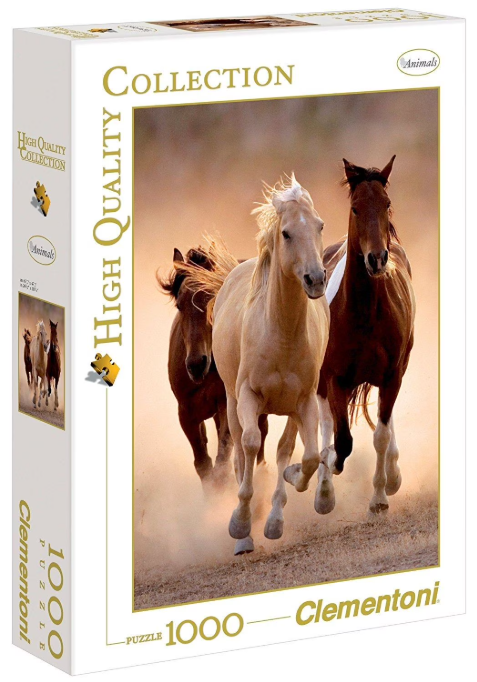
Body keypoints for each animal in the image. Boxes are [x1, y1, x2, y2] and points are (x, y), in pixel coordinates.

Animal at [158, 246, 269, 494]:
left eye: (213, 299)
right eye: (179, 305)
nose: (196, 364)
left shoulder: (226, 405)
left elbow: (222, 462)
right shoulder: (186, 413)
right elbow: (203, 464)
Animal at [183, 176, 329, 554]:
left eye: (320, 226)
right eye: (287, 233)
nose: (316, 279)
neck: (281, 333)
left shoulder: (304, 401)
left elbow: (305, 456)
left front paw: (283, 504)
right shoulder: (247, 397)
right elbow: (249, 446)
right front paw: (240, 524)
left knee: (284, 450)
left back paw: (274, 517)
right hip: (232, 403)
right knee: (240, 452)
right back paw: (245, 534)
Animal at [284, 156, 415, 518]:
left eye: (386, 204)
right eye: (355, 208)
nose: (377, 259)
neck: (364, 312)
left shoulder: (392, 375)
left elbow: (380, 435)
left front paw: (380, 497)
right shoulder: (334, 378)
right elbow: (341, 442)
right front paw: (315, 474)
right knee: (328, 424)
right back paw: (323, 490)